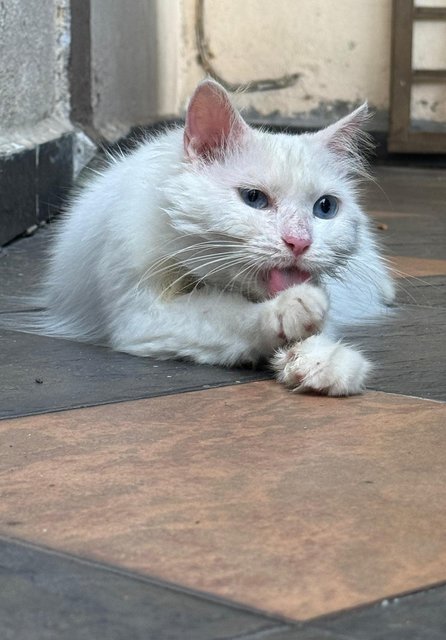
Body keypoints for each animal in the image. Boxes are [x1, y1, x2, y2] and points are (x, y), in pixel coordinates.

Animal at [26, 80, 396, 396]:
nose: (299, 242)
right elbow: (226, 315)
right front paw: (289, 310)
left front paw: (323, 359)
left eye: (325, 208)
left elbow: (316, 328)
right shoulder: (143, 316)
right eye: (254, 198)